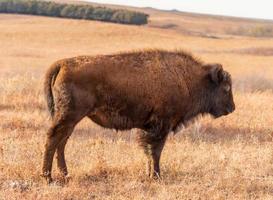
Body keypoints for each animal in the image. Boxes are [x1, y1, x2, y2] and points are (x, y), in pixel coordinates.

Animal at [41, 49, 235, 183]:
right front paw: (156, 176)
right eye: (226, 88)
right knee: (53, 139)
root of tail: (63, 64)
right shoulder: (160, 127)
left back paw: (66, 175)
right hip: (69, 116)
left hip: (71, 119)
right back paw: (48, 178)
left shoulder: (149, 128)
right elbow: (155, 151)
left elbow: (149, 152)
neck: (187, 79)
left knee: (61, 142)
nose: (232, 108)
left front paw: (150, 174)